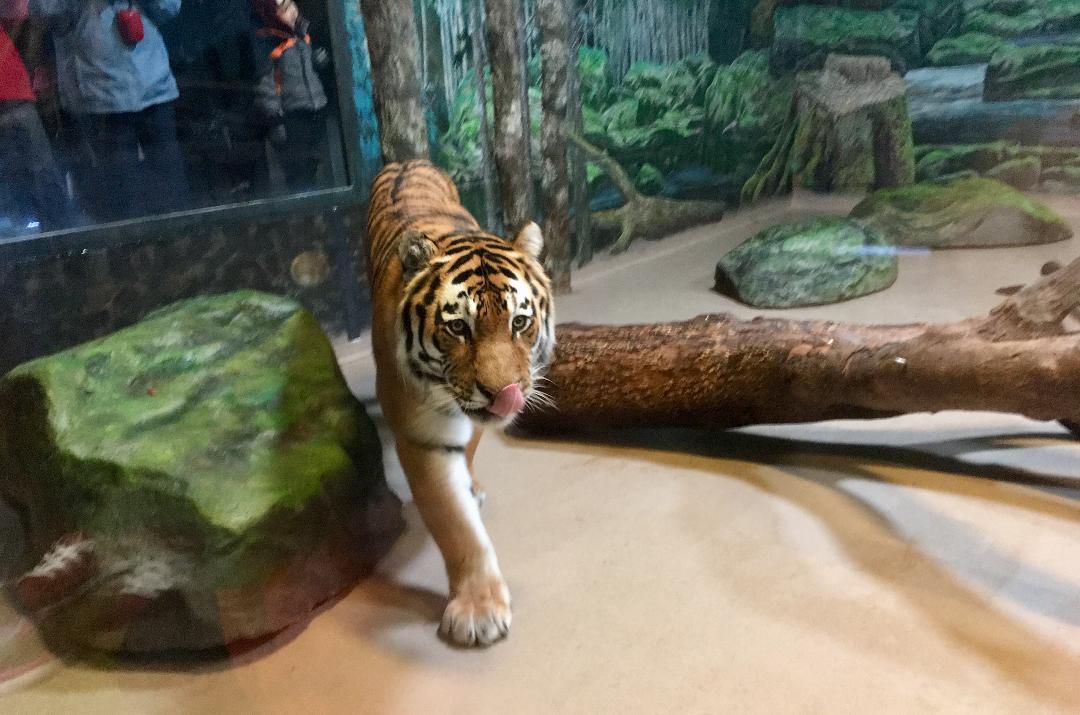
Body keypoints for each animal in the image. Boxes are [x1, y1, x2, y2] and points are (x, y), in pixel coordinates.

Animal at [365, 160, 555, 646]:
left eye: (519, 322)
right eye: (457, 328)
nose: (504, 393)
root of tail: (407, 160)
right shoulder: (423, 437)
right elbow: (456, 525)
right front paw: (478, 611)